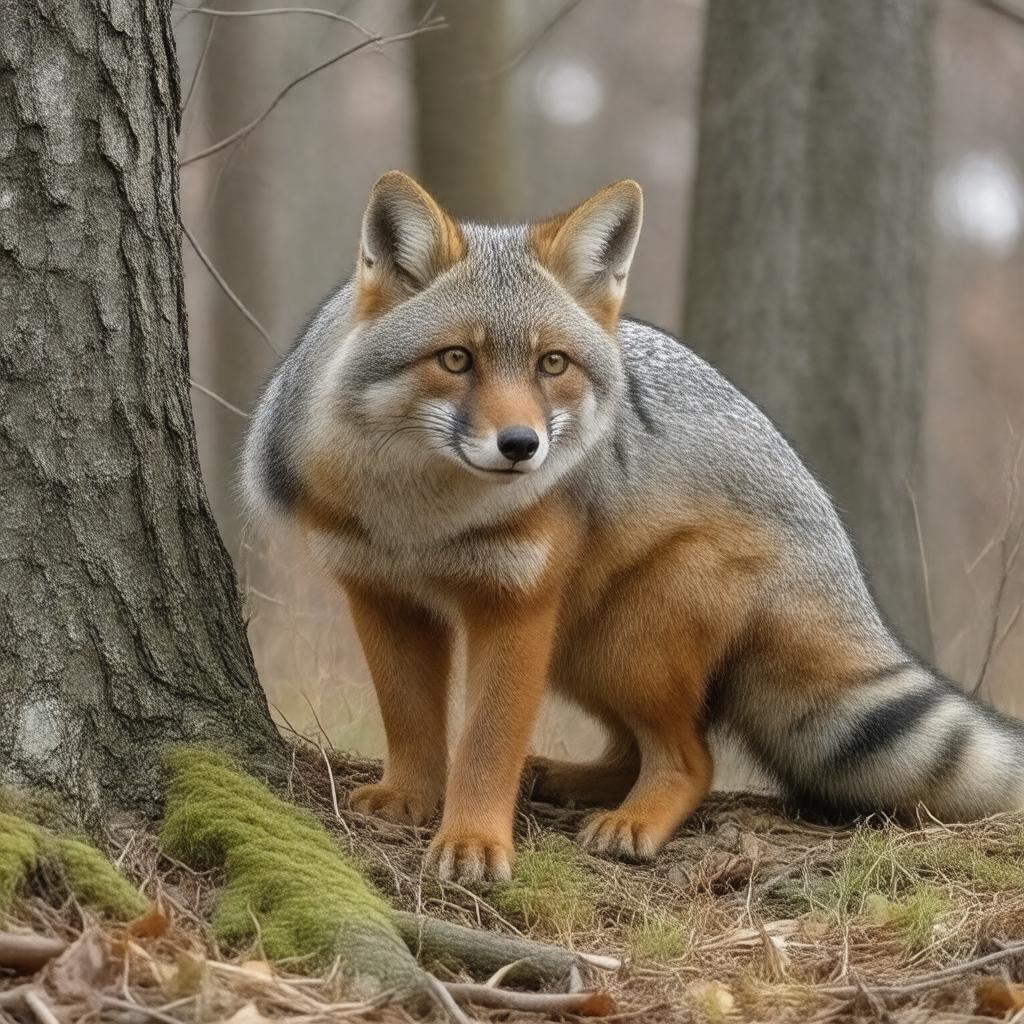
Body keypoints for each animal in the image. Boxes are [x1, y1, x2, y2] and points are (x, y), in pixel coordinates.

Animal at [243, 170, 1024, 883]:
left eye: (551, 364)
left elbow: (486, 744)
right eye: (456, 359)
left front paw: (474, 840)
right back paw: (567, 780)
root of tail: (832, 543)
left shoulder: (516, 605)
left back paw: (633, 821)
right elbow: (409, 719)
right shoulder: (380, 593)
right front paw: (410, 798)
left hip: (627, 645)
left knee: (691, 757)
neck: (423, 520)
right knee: (630, 751)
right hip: (581, 652)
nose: (522, 446)